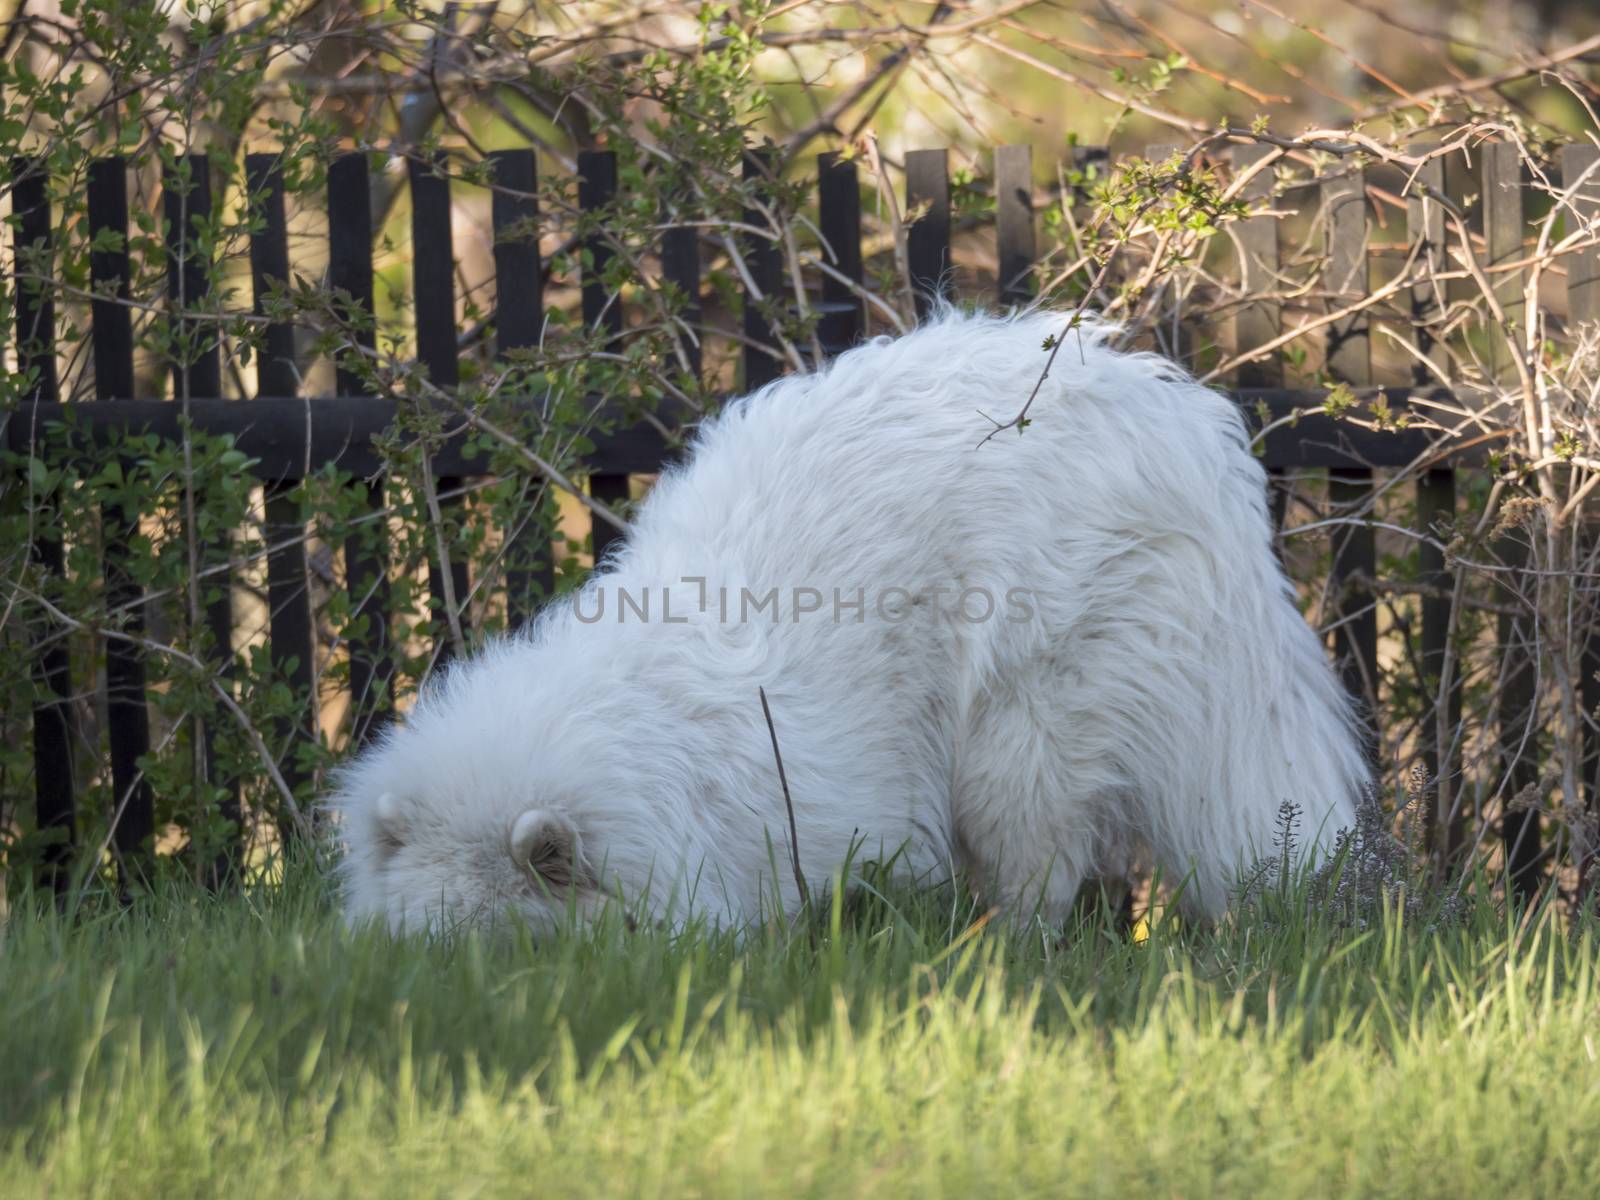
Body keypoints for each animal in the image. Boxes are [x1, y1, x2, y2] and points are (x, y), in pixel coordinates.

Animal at [331, 305, 1369, 934]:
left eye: (502, 942)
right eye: (428, 945)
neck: (637, 729)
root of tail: (1172, 417)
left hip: (1021, 732)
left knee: (1042, 866)